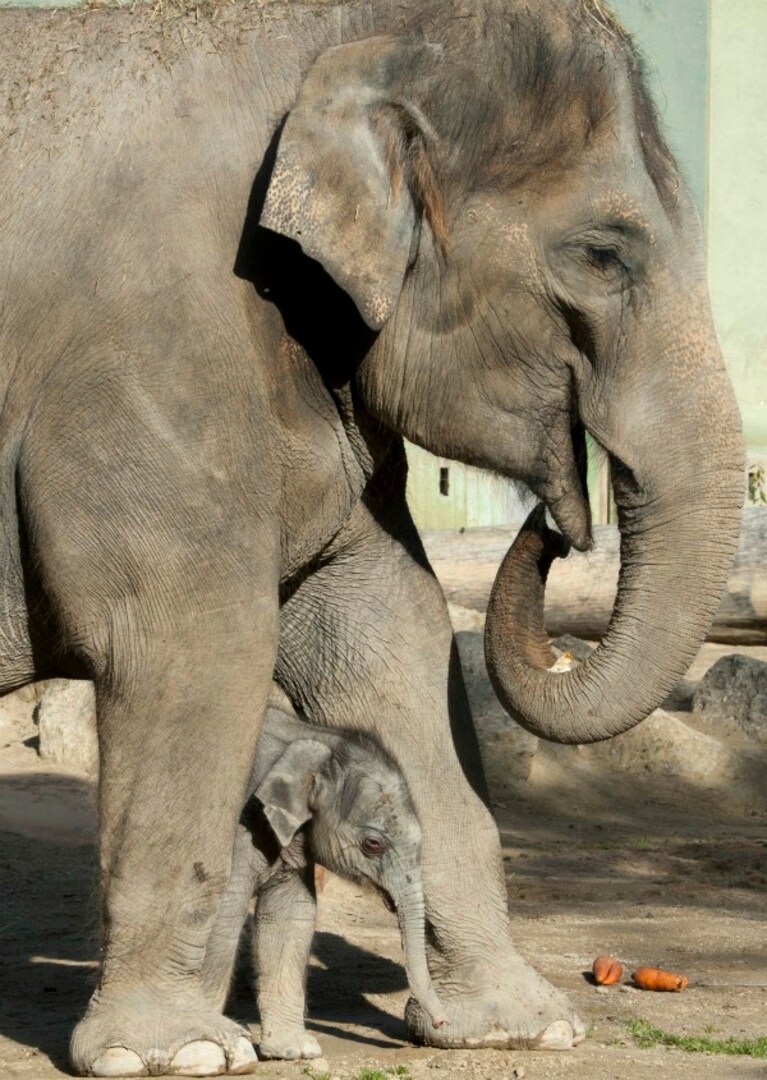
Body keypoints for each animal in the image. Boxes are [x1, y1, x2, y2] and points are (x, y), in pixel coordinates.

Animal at [201, 703, 446, 1061]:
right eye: (373, 844)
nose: (441, 1022)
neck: (315, 737)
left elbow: (289, 917)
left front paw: (295, 1050)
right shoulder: (238, 825)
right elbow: (221, 914)